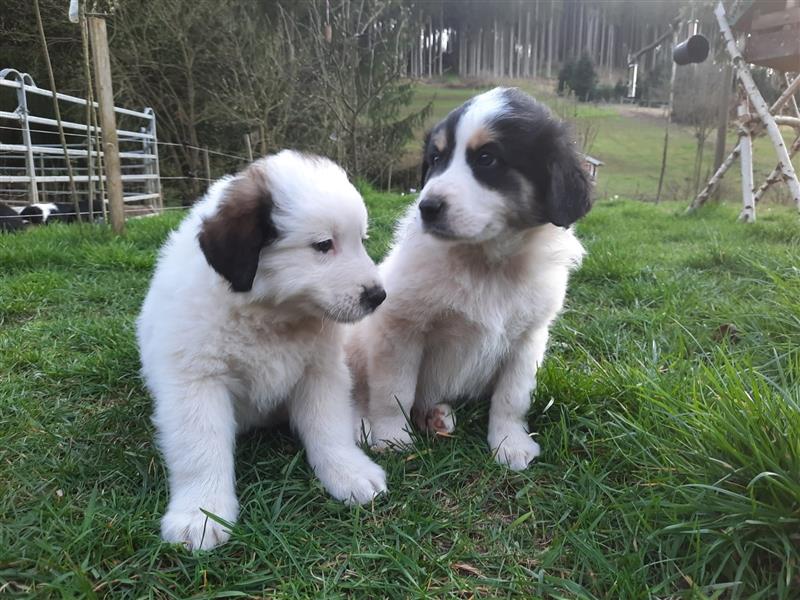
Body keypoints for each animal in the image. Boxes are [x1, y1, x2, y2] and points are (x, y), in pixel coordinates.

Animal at [139, 149, 390, 548]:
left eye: (362, 240)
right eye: (323, 245)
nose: (378, 296)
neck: (270, 316)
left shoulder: (321, 371)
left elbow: (328, 426)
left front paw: (348, 471)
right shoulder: (196, 380)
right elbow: (200, 447)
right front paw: (201, 512)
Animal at [350, 89, 592, 472]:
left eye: (487, 158)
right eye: (436, 158)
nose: (426, 208)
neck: (486, 263)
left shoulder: (528, 339)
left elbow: (512, 397)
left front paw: (510, 443)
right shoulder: (400, 329)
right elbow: (393, 391)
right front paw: (392, 438)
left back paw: (435, 416)